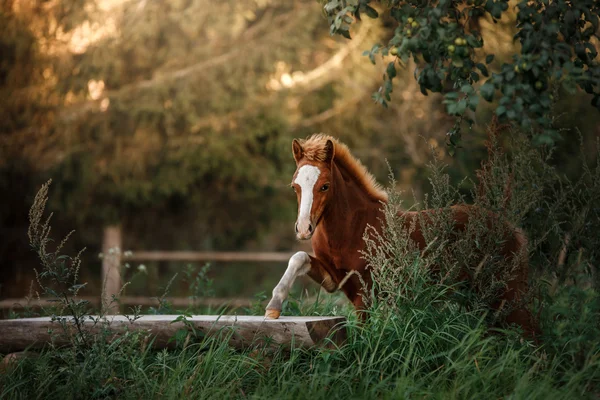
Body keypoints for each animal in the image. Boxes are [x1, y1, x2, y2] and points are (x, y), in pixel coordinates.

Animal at [264, 134, 536, 338]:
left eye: (325, 186)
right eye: (295, 186)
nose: (304, 228)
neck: (352, 227)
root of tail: (513, 229)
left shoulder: (365, 293)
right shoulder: (335, 280)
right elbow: (298, 257)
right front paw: (273, 308)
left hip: (507, 294)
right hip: (481, 298)